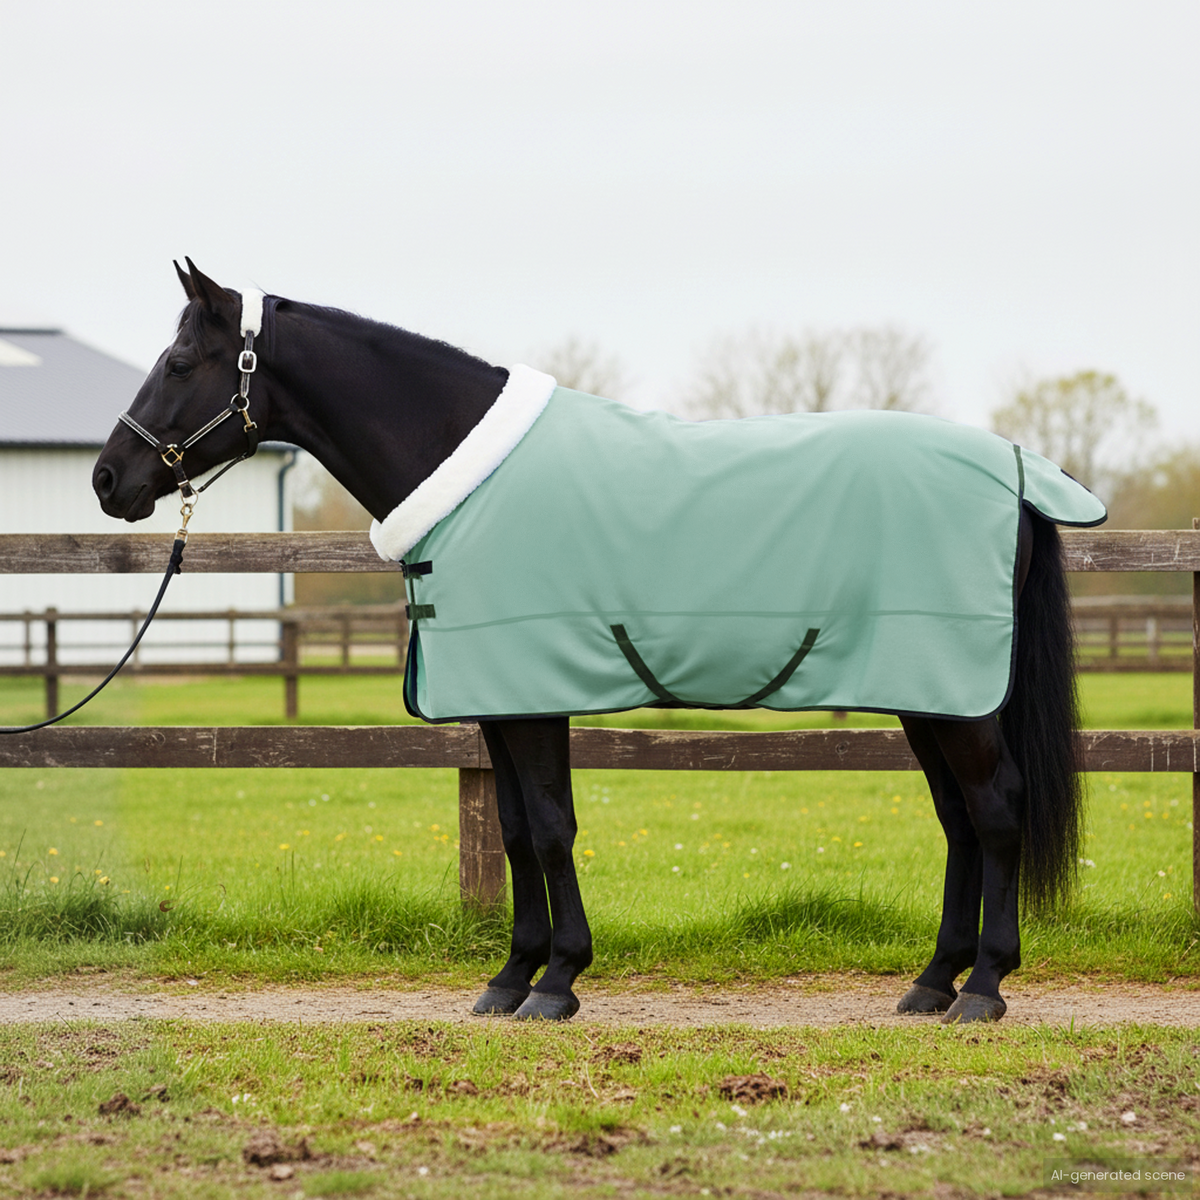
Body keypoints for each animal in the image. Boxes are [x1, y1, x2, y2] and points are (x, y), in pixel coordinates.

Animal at [93, 260, 1098, 1024]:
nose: (109, 478)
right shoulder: (498, 702)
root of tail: (1016, 470)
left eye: (180, 360)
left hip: (958, 697)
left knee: (996, 809)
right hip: (929, 693)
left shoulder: (532, 696)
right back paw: (933, 983)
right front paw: (511, 978)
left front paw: (559, 981)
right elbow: (512, 832)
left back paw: (985, 988)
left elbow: (548, 828)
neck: (464, 471)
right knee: (959, 819)